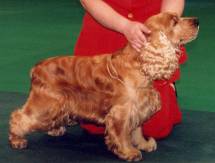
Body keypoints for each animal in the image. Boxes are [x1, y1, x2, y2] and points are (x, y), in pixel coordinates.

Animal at [9, 12, 199, 160]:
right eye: (174, 22)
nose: (197, 21)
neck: (139, 64)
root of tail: (36, 68)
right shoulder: (121, 111)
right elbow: (122, 134)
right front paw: (129, 152)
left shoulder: (138, 106)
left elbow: (137, 129)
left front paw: (143, 144)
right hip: (45, 103)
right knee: (19, 117)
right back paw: (17, 140)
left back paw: (55, 130)